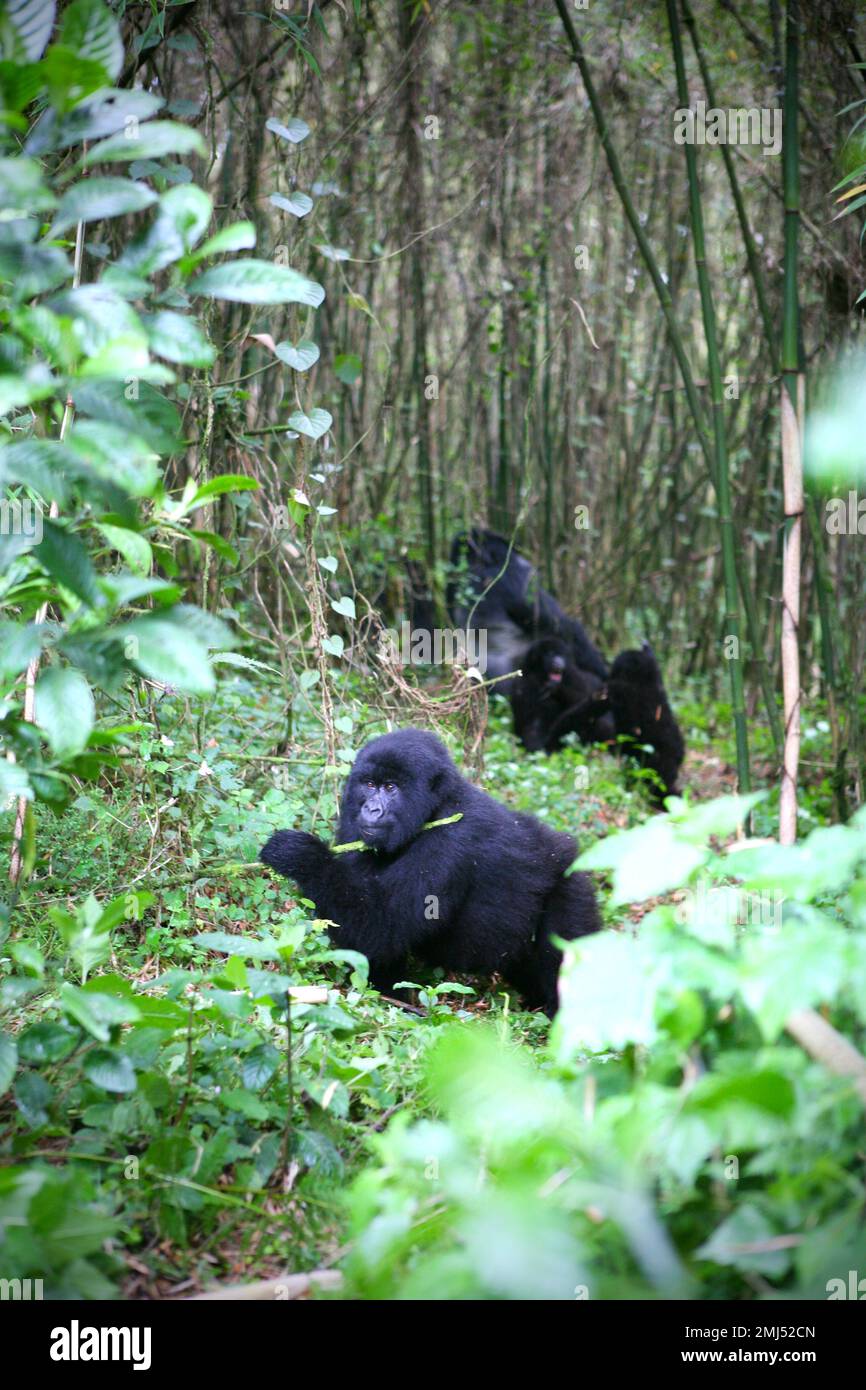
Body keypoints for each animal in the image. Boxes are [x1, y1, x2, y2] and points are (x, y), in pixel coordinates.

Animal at [258, 733, 603, 1017]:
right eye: (369, 784)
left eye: (391, 788)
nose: (371, 810)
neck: (436, 807)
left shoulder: (451, 840)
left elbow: (382, 924)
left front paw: (303, 856)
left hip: (571, 888)